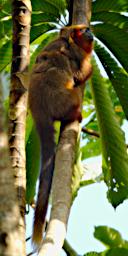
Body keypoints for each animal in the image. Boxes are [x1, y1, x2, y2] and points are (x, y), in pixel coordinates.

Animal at [28, 24, 93, 246]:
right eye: (84, 31)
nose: (91, 33)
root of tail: (37, 107)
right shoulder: (76, 53)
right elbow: (80, 74)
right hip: (60, 98)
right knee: (66, 82)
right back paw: (74, 113)